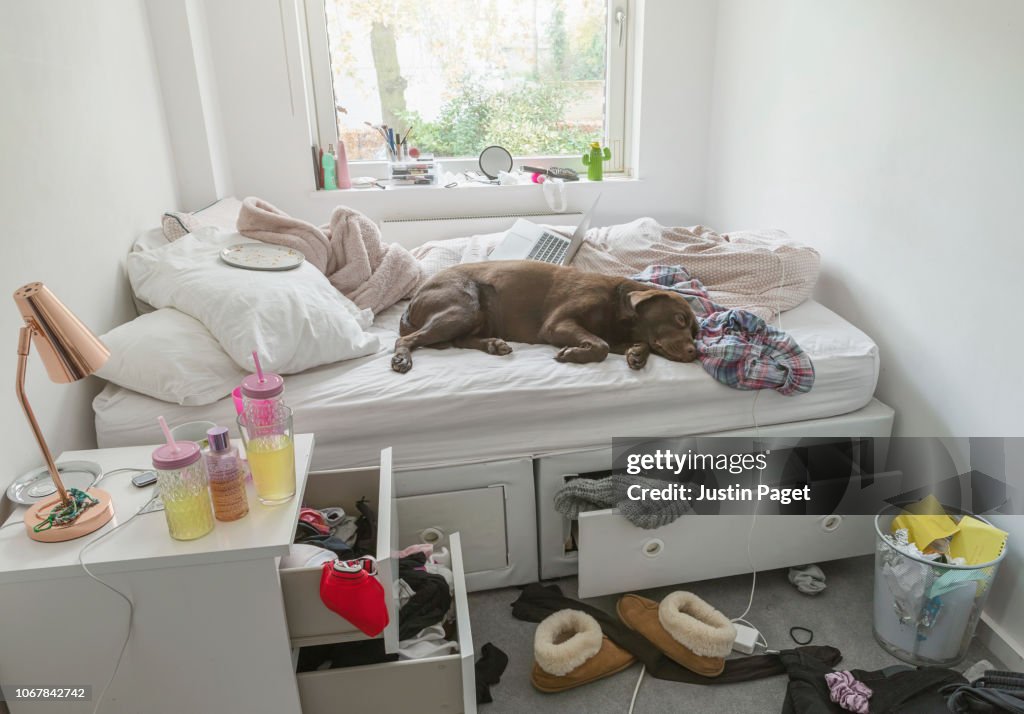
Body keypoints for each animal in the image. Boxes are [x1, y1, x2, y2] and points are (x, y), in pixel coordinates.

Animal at [387, 262, 700, 372]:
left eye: (696, 332)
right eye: (680, 319)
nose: (694, 352)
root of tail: (414, 298)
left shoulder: (616, 337)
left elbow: (630, 344)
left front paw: (637, 354)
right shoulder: (557, 324)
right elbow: (600, 346)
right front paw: (573, 353)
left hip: (472, 317)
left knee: (460, 340)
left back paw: (494, 345)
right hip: (462, 308)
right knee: (407, 340)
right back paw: (402, 359)